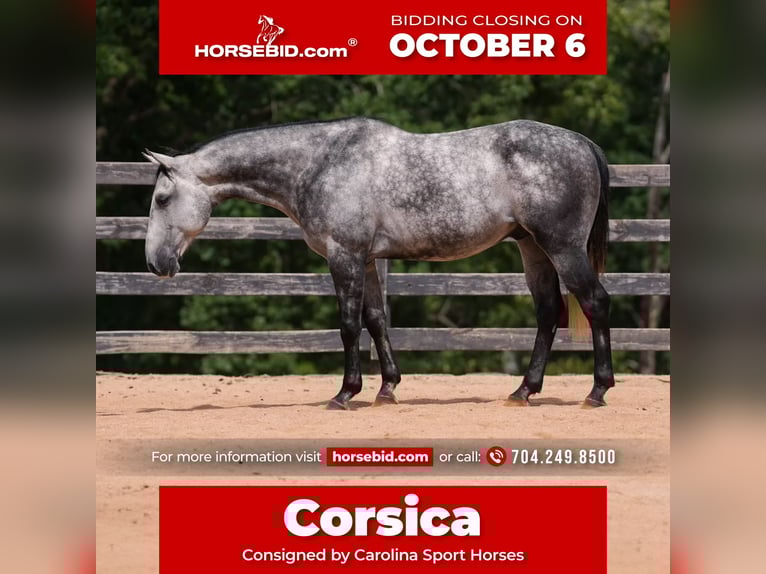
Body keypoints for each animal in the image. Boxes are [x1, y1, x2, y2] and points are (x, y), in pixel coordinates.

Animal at [143, 117, 614, 410]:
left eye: (162, 199)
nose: (155, 263)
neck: (320, 164)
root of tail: (583, 143)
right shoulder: (368, 260)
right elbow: (375, 319)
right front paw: (387, 388)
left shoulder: (345, 256)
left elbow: (349, 325)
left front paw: (345, 393)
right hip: (532, 248)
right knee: (548, 312)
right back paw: (524, 391)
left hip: (562, 247)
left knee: (595, 303)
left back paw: (596, 390)